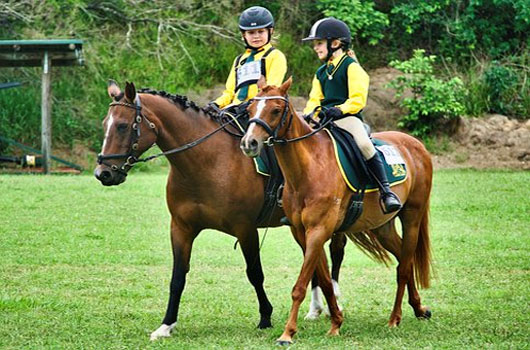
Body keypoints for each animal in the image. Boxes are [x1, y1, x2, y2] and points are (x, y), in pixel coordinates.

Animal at [241, 76, 432, 344]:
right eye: (249, 110)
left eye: (276, 110)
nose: (249, 143)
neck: (307, 169)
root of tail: (415, 144)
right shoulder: (302, 232)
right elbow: (323, 279)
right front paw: (336, 322)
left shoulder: (319, 230)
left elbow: (300, 286)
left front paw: (288, 333)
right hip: (382, 227)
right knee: (404, 258)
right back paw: (419, 308)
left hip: (412, 217)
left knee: (404, 268)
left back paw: (395, 318)